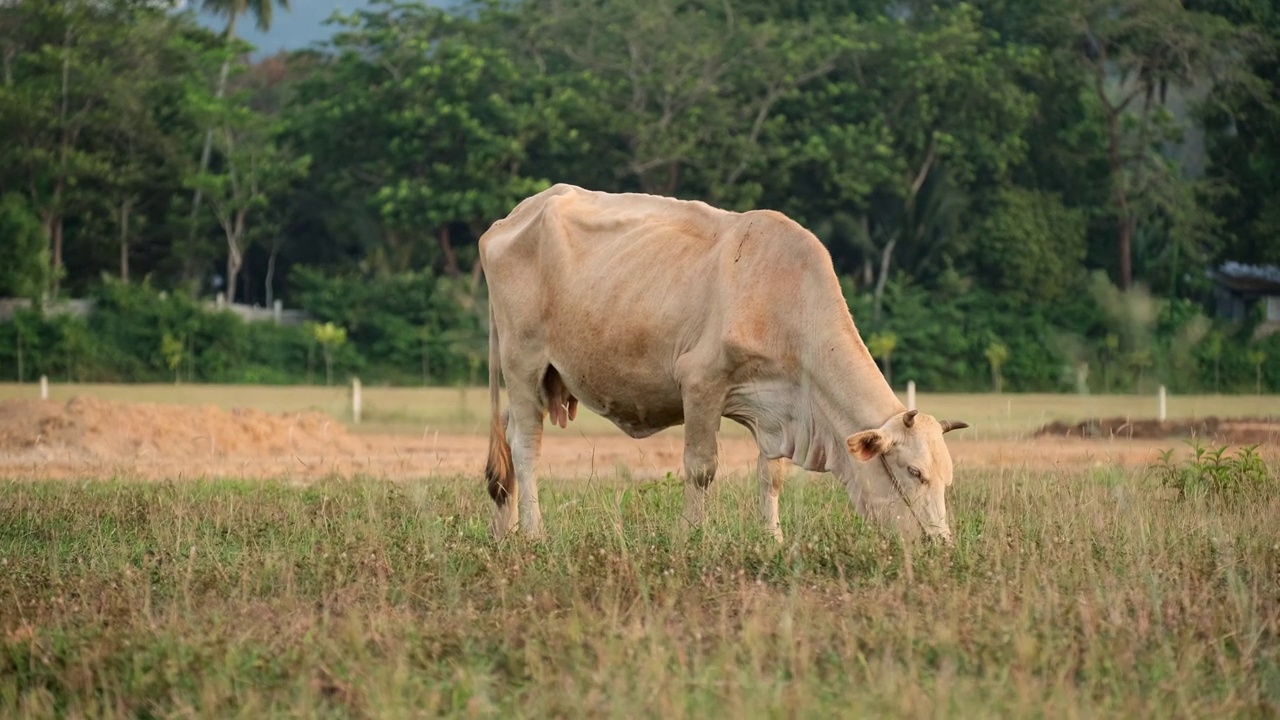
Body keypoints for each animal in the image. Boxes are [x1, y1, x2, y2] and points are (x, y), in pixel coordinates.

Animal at [481, 181, 967, 540]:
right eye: (914, 472)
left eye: (947, 479)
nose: (939, 543)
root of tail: (513, 216)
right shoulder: (701, 384)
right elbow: (701, 469)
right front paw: (691, 538)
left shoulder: (777, 408)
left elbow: (771, 476)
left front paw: (772, 540)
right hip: (522, 362)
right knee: (525, 445)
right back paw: (533, 533)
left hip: (546, 377)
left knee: (508, 436)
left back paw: (505, 531)